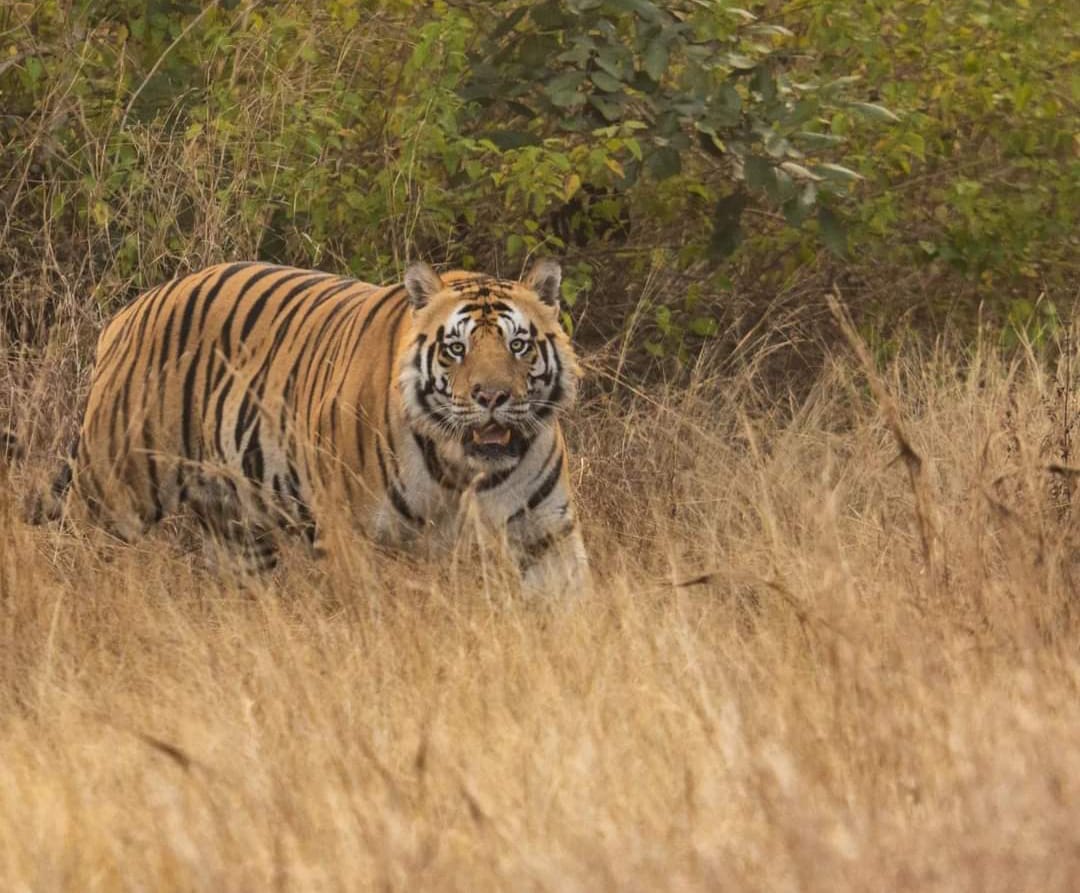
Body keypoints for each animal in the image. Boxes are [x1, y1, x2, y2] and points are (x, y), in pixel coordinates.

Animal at [37, 259, 590, 596]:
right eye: (457, 348)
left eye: (518, 345)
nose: (492, 397)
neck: (459, 467)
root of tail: (130, 311)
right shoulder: (349, 534)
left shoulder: (545, 533)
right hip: (114, 493)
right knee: (77, 551)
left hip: (237, 530)